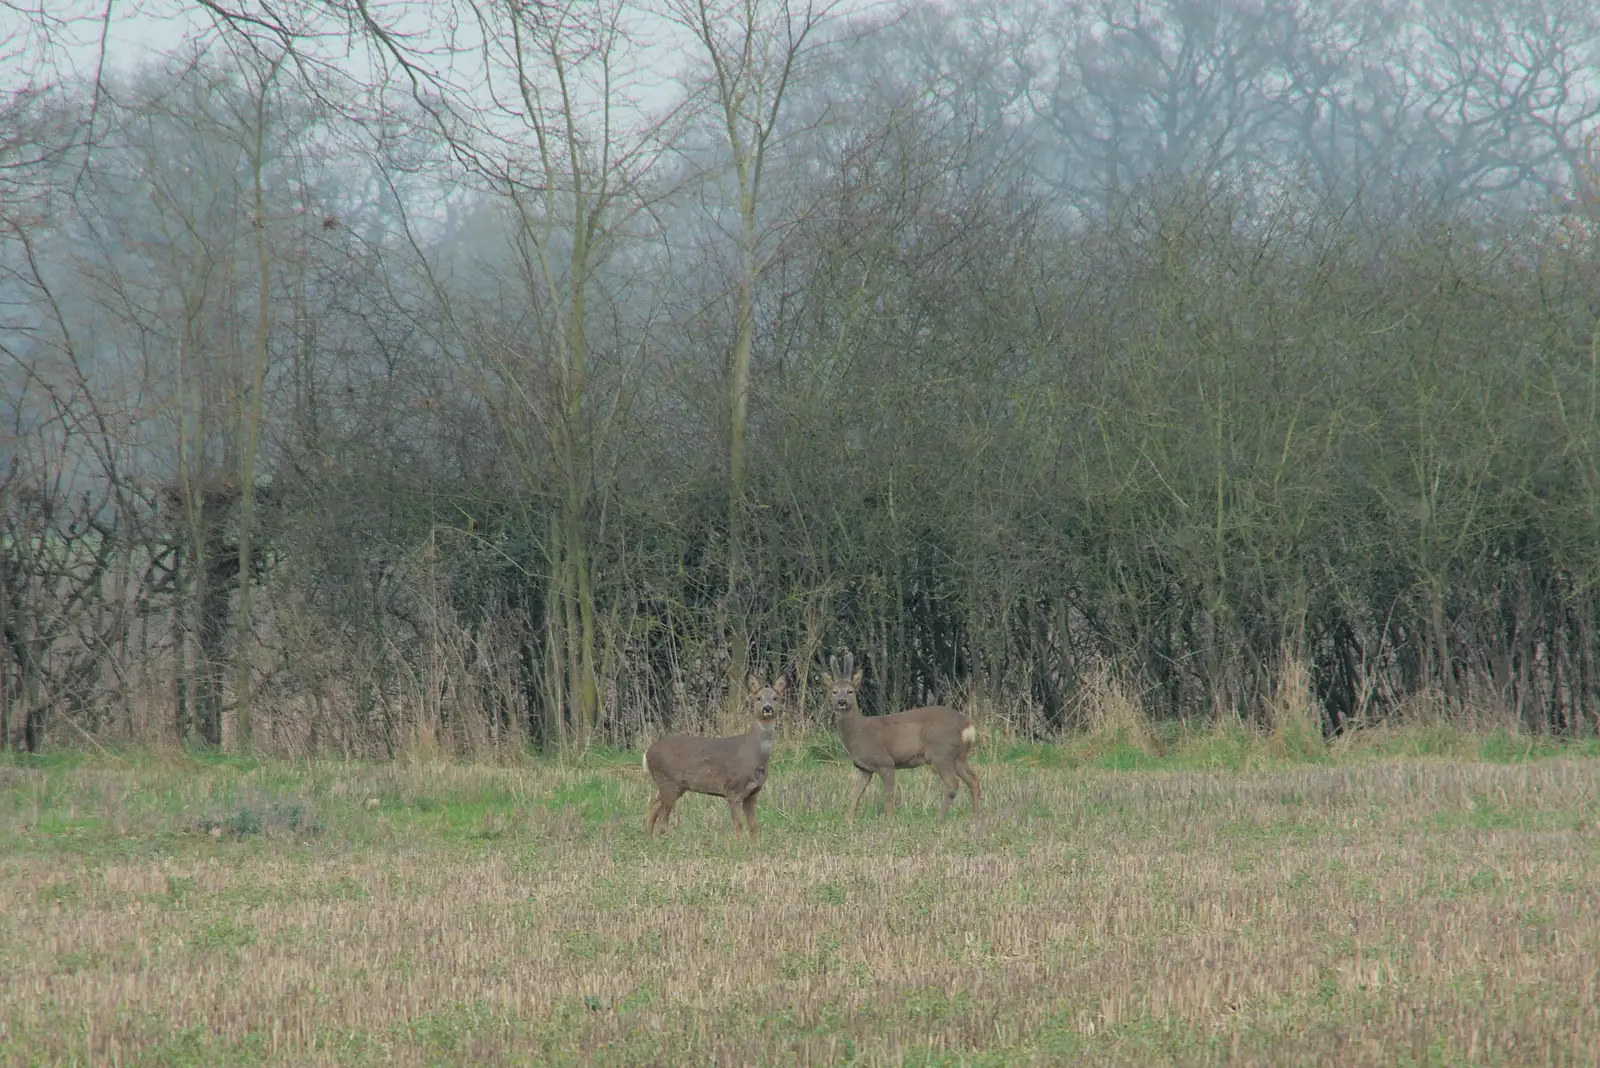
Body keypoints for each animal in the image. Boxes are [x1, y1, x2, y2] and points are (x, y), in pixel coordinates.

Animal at [636, 674, 787, 844]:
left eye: (775, 698)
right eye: (758, 697)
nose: (767, 708)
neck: (754, 755)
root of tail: (647, 753)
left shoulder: (753, 793)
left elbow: (754, 826)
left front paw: (755, 846)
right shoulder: (733, 790)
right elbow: (738, 824)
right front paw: (738, 845)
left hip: (674, 785)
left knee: (654, 806)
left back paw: (650, 839)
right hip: (667, 780)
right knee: (663, 818)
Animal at [825, 652, 972, 824]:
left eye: (850, 691)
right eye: (834, 691)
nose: (841, 702)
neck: (858, 732)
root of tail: (965, 723)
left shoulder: (886, 762)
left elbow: (888, 795)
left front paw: (891, 821)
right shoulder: (864, 768)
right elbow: (855, 794)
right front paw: (848, 821)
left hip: (942, 753)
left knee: (953, 783)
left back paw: (940, 820)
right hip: (959, 756)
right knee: (974, 780)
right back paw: (976, 816)